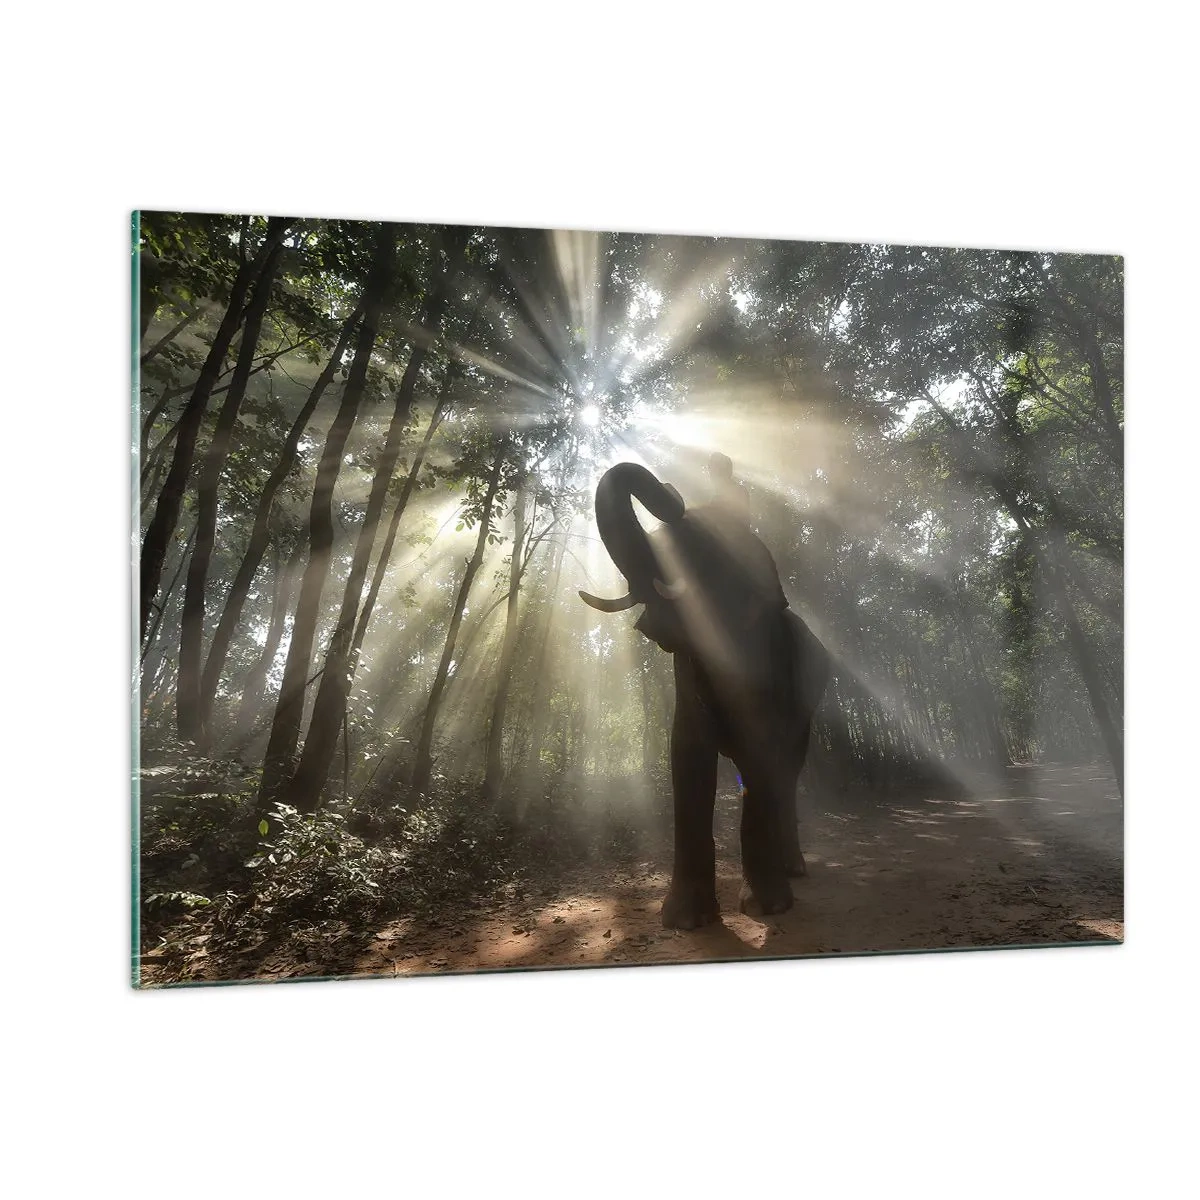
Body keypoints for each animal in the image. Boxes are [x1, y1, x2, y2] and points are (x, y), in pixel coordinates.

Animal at [579, 457, 831, 930]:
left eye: (694, 546)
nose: (671, 492)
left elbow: (763, 752)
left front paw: (767, 909)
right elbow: (687, 753)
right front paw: (685, 920)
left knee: (788, 771)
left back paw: (792, 871)